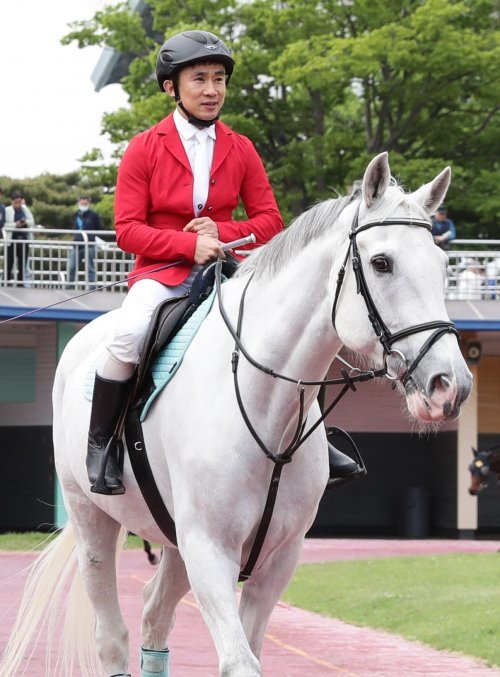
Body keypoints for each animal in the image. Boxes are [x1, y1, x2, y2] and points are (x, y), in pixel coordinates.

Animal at [1, 153, 472, 676]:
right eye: (381, 263)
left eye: (443, 265)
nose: (450, 385)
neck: (267, 410)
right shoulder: (210, 551)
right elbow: (239, 660)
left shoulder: (278, 558)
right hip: (93, 523)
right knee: (112, 634)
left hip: (175, 547)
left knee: (154, 617)